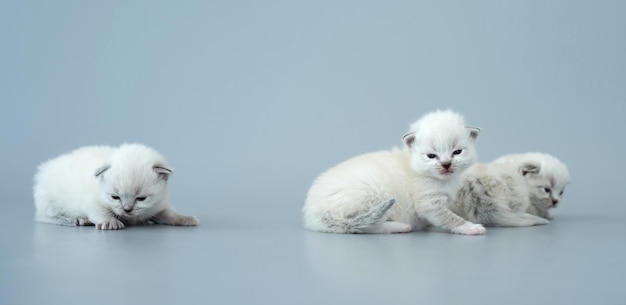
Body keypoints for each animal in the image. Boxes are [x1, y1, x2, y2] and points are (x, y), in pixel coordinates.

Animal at [33, 144, 197, 229]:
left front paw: (185, 218)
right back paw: (76, 220)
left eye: (141, 198)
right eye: (115, 197)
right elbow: (102, 212)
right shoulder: (92, 201)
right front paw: (110, 222)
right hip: (49, 203)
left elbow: (170, 214)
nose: (127, 209)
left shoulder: (158, 205)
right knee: (43, 217)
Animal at [302, 109, 482, 235]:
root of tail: (313, 214)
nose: (446, 164)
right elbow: (450, 218)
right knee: (365, 227)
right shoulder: (429, 204)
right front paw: (470, 227)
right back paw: (401, 226)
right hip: (372, 197)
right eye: (431, 156)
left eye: (457, 152)